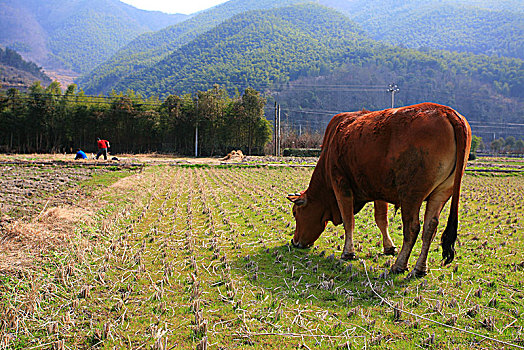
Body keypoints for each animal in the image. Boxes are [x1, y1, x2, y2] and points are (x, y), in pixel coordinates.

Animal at [286, 102, 470, 278]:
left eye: (295, 213)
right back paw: (419, 269)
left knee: (412, 228)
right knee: (430, 229)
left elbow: (348, 220)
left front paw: (348, 252)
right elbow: (381, 220)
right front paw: (389, 247)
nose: (294, 242)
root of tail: (447, 112)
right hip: (441, 193)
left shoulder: (341, 184)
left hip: (410, 195)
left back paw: (399, 265)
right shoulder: (379, 191)